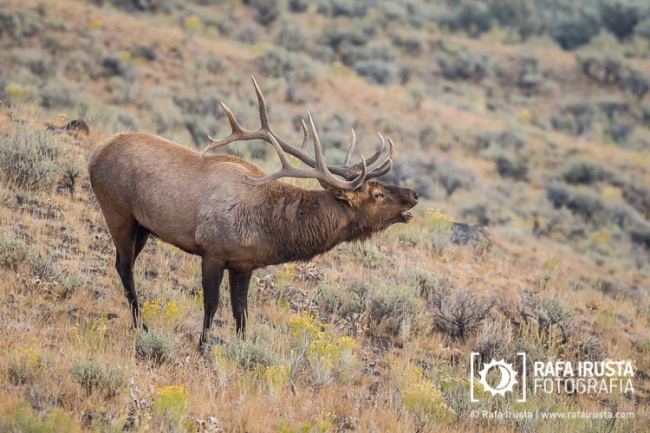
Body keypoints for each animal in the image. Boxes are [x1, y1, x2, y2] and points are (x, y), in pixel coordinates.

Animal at [88, 77, 418, 348]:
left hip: (143, 226)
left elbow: (241, 313)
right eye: (377, 194)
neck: (269, 227)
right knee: (124, 266)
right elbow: (212, 304)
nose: (414, 195)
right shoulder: (212, 250)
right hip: (118, 212)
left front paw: (242, 350)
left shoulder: (243, 264)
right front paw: (202, 347)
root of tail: (94, 154)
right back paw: (140, 325)